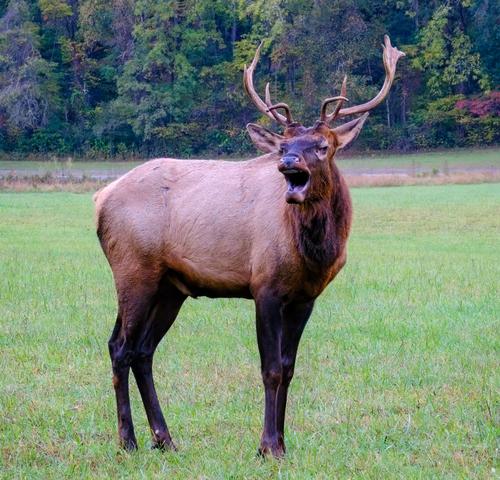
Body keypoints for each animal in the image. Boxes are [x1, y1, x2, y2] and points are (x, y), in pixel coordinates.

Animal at [94, 34, 404, 458]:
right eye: (283, 144)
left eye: (323, 145)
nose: (288, 163)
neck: (313, 253)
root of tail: (100, 199)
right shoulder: (265, 286)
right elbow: (269, 368)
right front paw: (267, 446)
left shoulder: (305, 297)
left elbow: (289, 368)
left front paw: (283, 443)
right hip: (133, 268)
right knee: (119, 346)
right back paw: (128, 440)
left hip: (170, 286)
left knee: (143, 350)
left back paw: (165, 438)